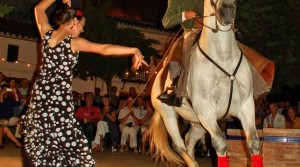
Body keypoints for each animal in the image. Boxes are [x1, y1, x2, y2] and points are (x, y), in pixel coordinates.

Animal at [149, 0, 262, 167]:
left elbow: (253, 143)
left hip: (197, 123)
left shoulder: (245, 105)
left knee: (189, 139)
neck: (224, 56)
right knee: (178, 144)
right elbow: (220, 143)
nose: (227, 11)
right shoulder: (205, 108)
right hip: (168, 115)